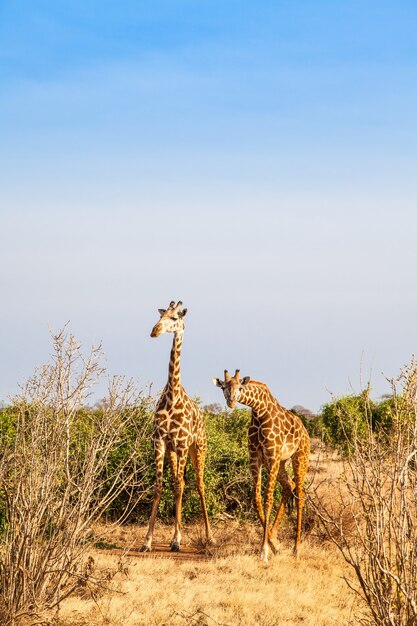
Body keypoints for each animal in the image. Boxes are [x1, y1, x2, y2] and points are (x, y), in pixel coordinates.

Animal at [141, 302, 213, 552]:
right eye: (161, 314)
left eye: (174, 317)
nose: (154, 331)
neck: (172, 395)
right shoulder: (160, 442)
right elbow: (159, 486)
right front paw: (148, 541)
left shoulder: (182, 444)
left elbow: (180, 488)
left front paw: (176, 540)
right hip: (174, 452)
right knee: (178, 482)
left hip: (198, 448)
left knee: (199, 485)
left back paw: (209, 537)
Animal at [213, 368, 308, 560]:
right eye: (223, 387)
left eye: (240, 387)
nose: (231, 401)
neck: (259, 412)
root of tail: (305, 430)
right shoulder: (255, 458)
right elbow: (256, 498)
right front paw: (273, 543)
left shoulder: (271, 456)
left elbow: (267, 499)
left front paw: (264, 550)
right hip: (282, 463)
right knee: (289, 486)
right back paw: (279, 541)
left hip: (299, 458)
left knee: (300, 495)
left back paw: (296, 548)